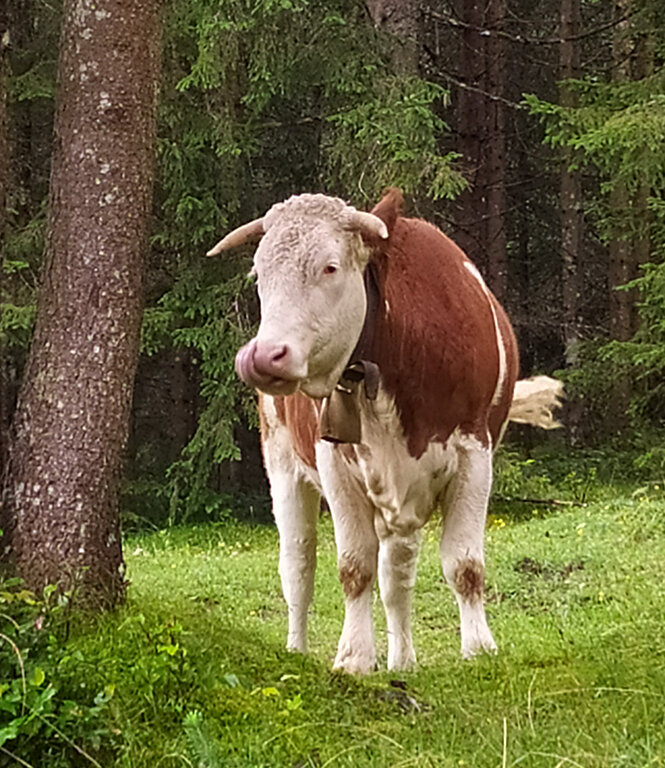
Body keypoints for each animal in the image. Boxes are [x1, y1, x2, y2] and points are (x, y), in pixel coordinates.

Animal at [208, 188, 560, 672]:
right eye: (259, 274)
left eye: (330, 266)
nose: (263, 356)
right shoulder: (333, 461)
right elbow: (354, 566)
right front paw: (354, 656)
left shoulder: (474, 454)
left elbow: (464, 564)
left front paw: (478, 648)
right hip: (281, 462)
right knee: (298, 563)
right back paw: (296, 649)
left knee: (397, 573)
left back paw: (403, 660)